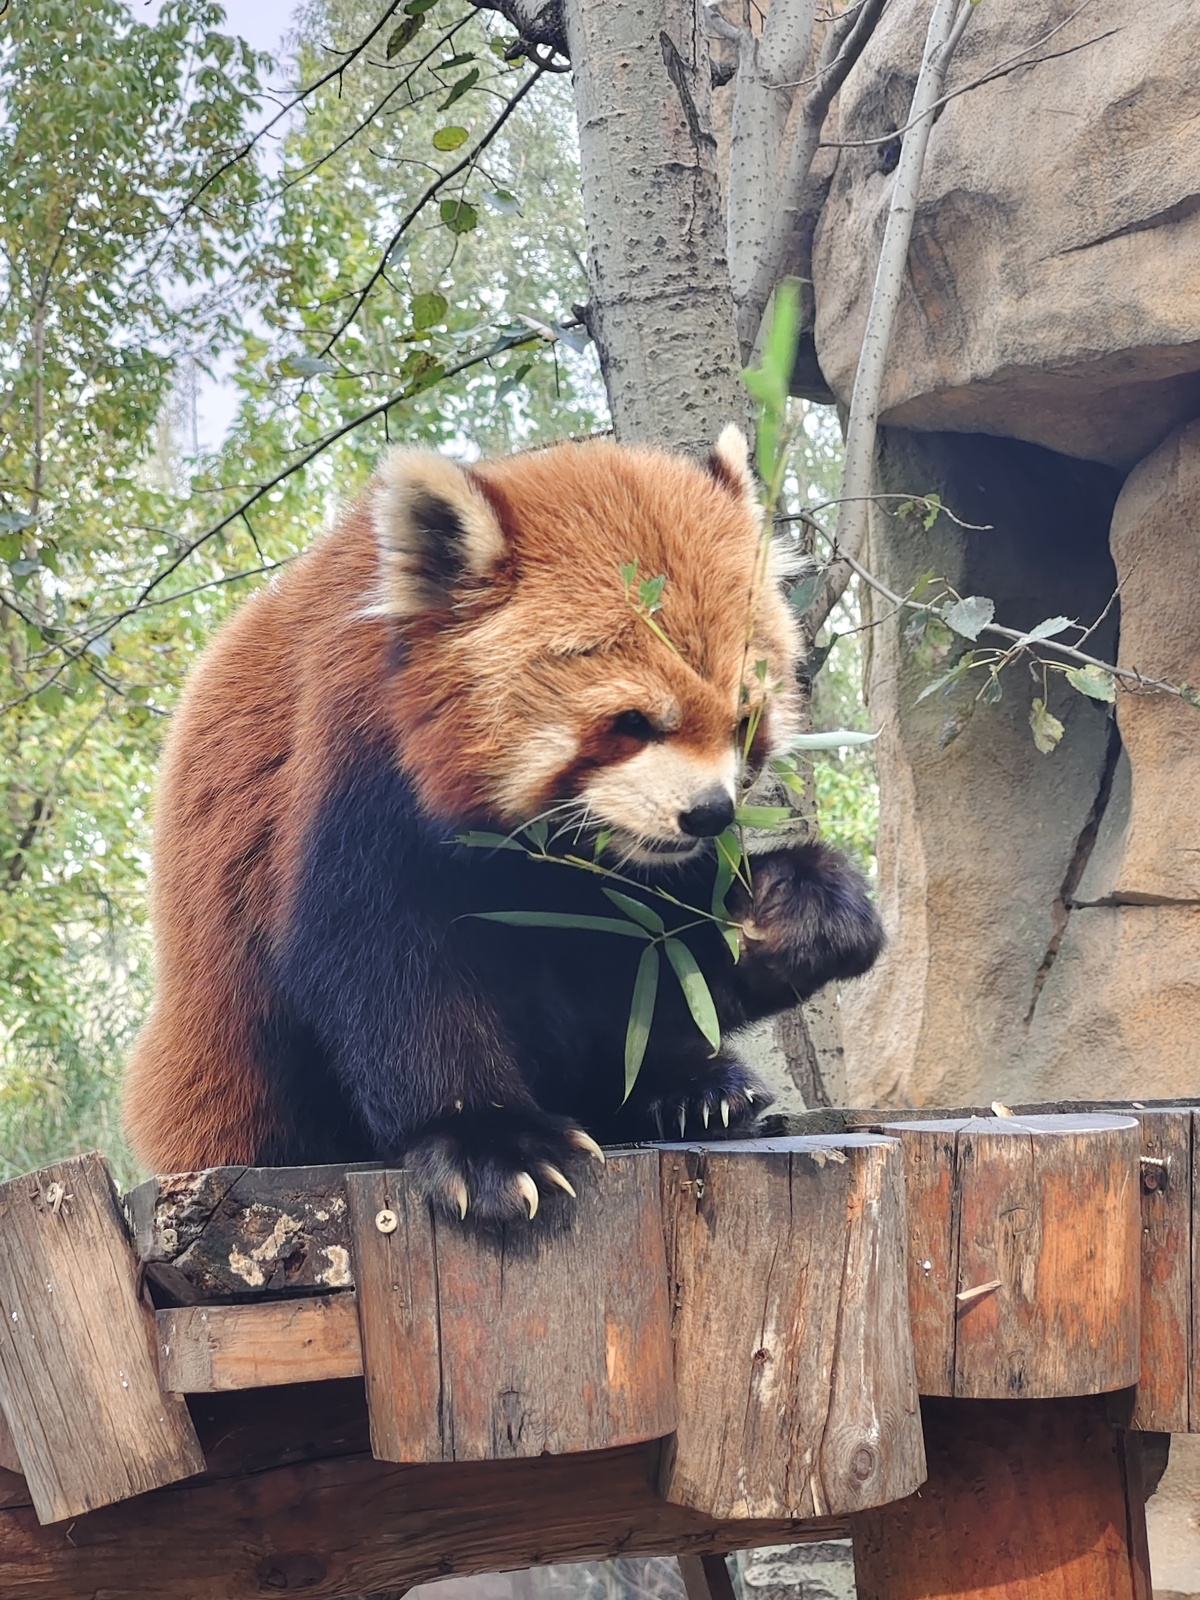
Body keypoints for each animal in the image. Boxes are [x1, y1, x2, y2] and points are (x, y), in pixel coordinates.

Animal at [123, 426, 883, 1221]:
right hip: (229, 1073)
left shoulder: (612, 886)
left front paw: (799, 909)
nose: (710, 812)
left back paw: (700, 1090)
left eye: (743, 720)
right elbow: (382, 963)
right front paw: (489, 1140)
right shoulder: (346, 781)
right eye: (632, 723)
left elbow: (649, 952)